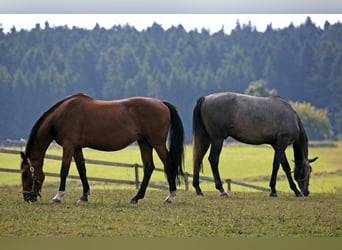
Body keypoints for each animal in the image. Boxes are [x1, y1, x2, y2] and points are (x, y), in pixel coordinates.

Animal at [20, 93, 184, 204]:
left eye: (25, 174)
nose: (27, 197)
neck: (62, 115)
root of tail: (161, 103)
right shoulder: (77, 148)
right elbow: (82, 170)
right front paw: (84, 196)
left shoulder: (69, 146)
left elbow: (64, 170)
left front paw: (58, 196)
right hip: (144, 143)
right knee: (149, 167)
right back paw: (136, 197)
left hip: (157, 143)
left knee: (168, 163)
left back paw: (170, 196)